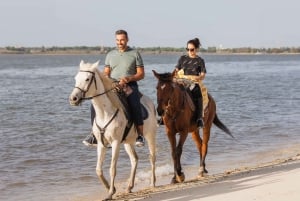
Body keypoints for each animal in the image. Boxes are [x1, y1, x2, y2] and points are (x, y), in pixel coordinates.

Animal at [68, 60, 157, 200]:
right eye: (76, 78)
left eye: (87, 79)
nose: (73, 99)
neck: (105, 112)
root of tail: (149, 102)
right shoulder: (101, 144)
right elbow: (98, 169)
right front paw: (110, 188)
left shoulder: (115, 143)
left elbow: (112, 169)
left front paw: (110, 193)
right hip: (128, 142)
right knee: (134, 159)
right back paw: (129, 186)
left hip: (150, 136)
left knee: (152, 157)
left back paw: (152, 183)